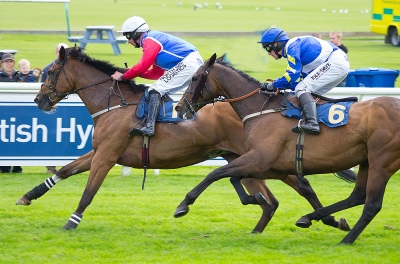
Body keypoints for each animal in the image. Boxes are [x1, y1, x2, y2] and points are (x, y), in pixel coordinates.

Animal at [18, 46, 350, 232]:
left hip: (262, 158)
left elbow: (88, 191)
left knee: (300, 185)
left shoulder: (107, 156)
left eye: (50, 72)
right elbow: (64, 171)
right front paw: (28, 196)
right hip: (243, 159)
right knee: (269, 200)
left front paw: (71, 222)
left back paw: (328, 219)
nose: (38, 100)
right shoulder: (100, 151)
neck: (114, 104)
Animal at [173, 52, 400, 244]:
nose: (179, 106)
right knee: (358, 196)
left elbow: (215, 173)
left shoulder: (258, 159)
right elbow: (233, 178)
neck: (262, 109)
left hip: (382, 162)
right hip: (367, 161)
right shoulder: (267, 165)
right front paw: (255, 198)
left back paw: (345, 240)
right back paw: (310, 218)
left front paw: (183, 205)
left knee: (371, 204)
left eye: (194, 78)